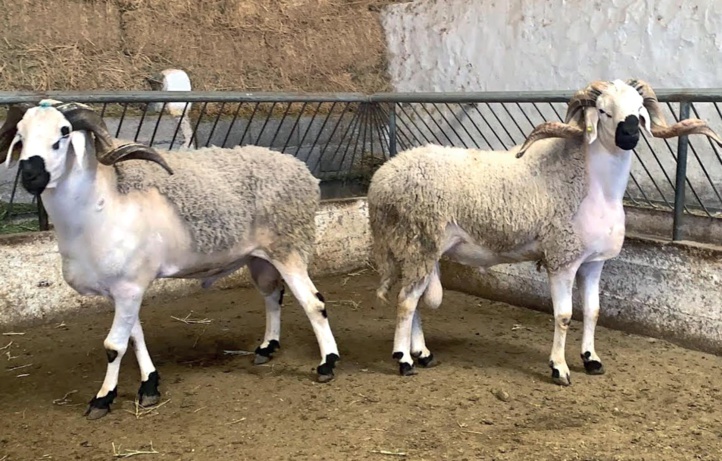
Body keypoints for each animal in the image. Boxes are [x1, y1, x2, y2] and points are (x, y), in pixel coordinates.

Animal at [0, 99, 341, 419]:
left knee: (314, 303)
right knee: (272, 296)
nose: (30, 175)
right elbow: (134, 337)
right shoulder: (125, 288)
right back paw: (267, 348)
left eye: (64, 133)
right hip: (260, 257)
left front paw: (103, 399)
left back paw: (327, 364)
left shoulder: (128, 287)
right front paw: (149, 385)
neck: (101, 202)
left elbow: (114, 346)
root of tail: (299, 167)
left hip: (288, 246)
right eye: (20, 135)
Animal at [367, 79, 722, 385]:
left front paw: (591, 359)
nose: (629, 133)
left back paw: (422, 353)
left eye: (640, 110)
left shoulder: (594, 262)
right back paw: (404, 361)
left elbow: (593, 311)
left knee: (412, 300)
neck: (591, 184)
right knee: (405, 302)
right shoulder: (562, 257)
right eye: (603, 110)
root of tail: (382, 177)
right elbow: (564, 315)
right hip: (418, 242)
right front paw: (559, 368)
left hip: (420, 250)